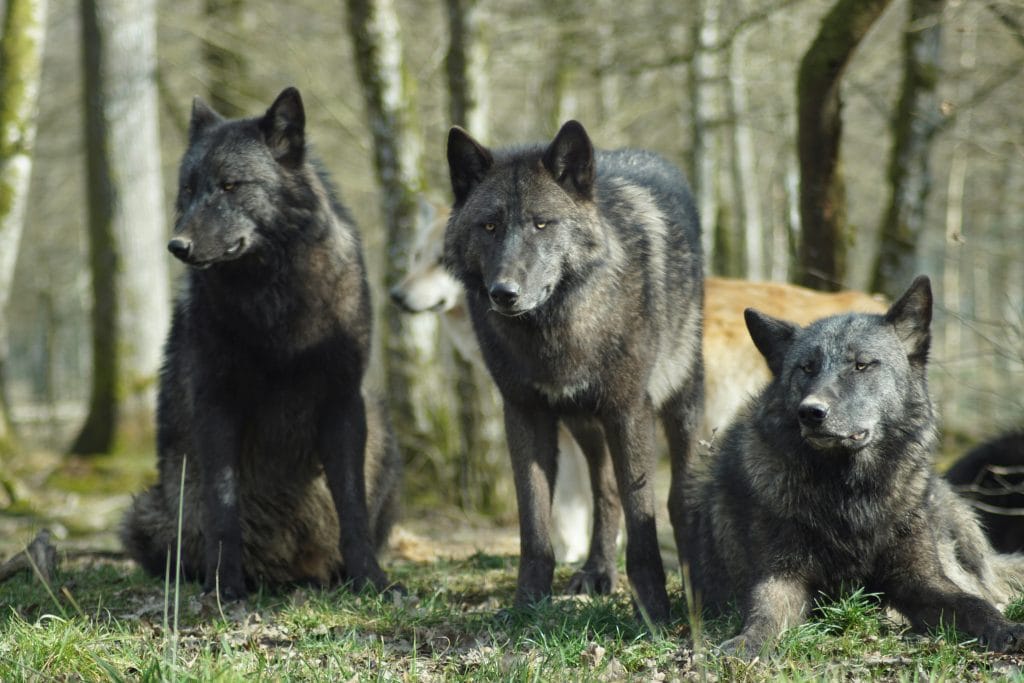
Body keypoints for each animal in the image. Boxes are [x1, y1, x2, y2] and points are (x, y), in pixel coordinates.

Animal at [120, 87, 401, 600]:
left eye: (231, 185)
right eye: (188, 189)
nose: (177, 246)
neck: (274, 299)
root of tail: (288, 573)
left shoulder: (343, 402)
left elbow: (352, 508)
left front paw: (371, 580)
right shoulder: (216, 405)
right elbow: (223, 507)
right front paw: (225, 587)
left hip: (383, 428)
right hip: (145, 514)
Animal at [444, 120, 703, 623]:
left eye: (542, 223)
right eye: (489, 225)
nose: (504, 292)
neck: (556, 331)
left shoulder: (629, 411)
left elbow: (643, 519)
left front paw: (653, 611)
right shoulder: (524, 414)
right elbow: (534, 524)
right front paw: (527, 606)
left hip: (679, 404)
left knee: (677, 495)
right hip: (584, 423)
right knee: (604, 492)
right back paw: (597, 570)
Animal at [679, 276, 1024, 655]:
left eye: (861, 365)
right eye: (806, 367)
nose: (811, 412)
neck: (849, 494)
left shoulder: (921, 579)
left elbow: (972, 603)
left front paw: (1005, 628)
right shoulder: (781, 576)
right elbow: (764, 613)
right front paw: (746, 644)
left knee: (985, 586)